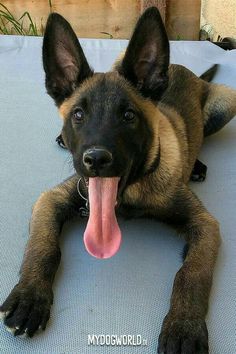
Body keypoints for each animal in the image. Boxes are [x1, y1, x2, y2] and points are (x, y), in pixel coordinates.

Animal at [0, 6, 236, 354]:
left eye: (128, 116)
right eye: (78, 115)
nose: (96, 159)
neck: (129, 196)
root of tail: (185, 70)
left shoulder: (205, 225)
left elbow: (192, 273)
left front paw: (184, 327)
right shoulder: (52, 198)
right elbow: (42, 247)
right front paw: (29, 297)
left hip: (226, 101)